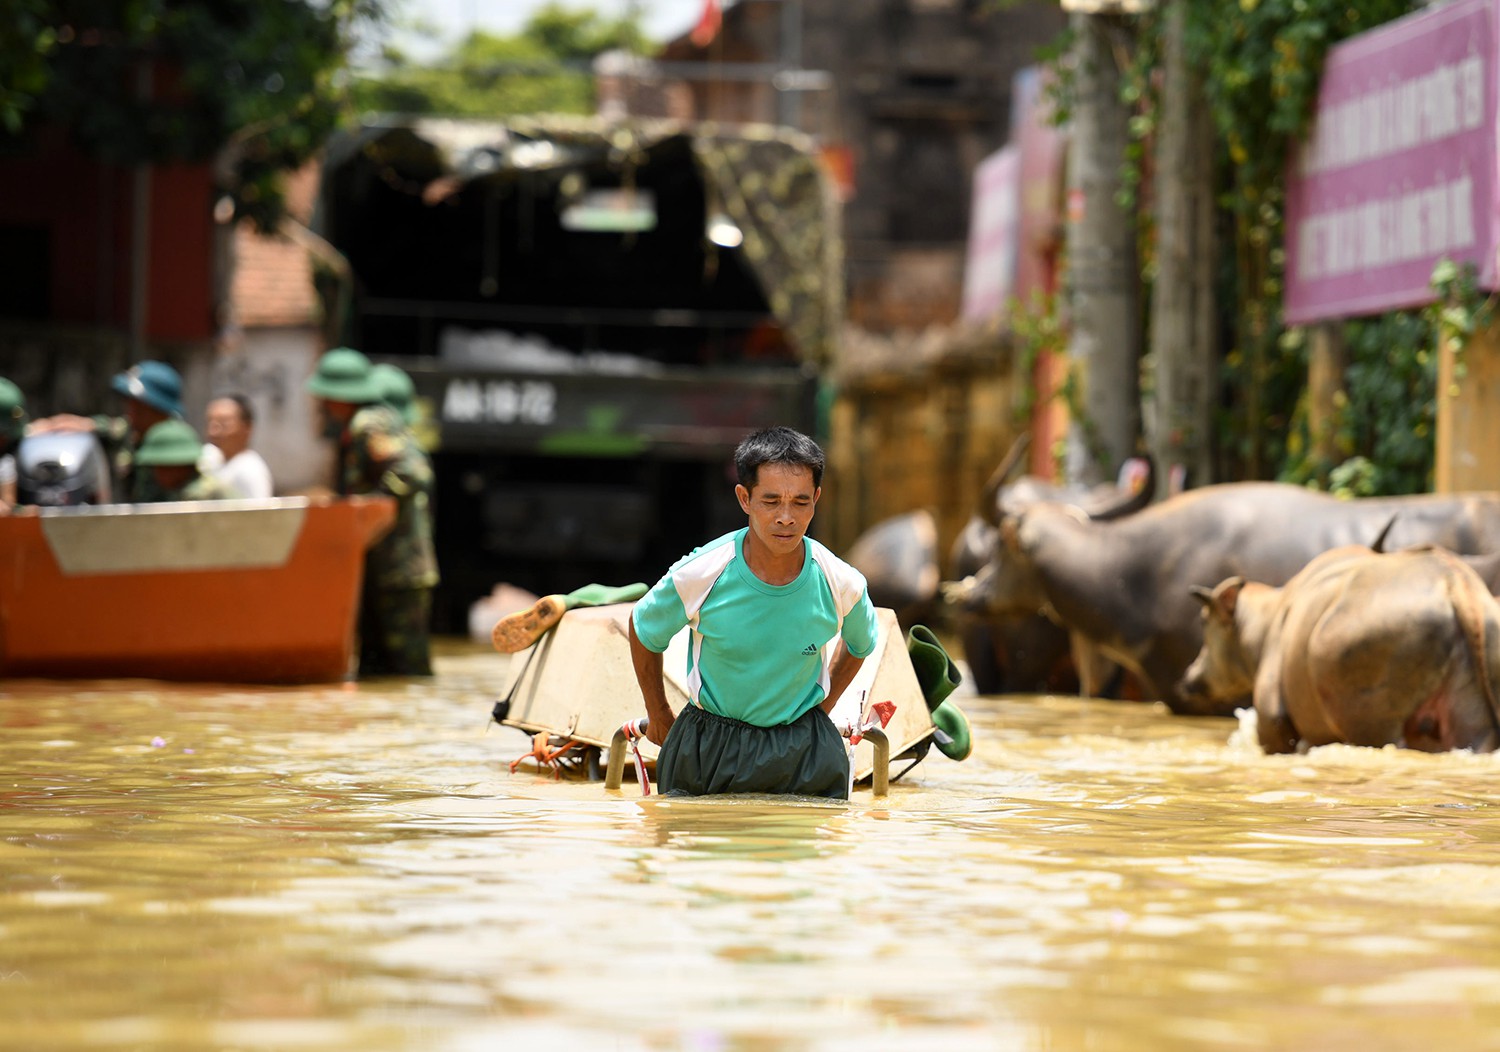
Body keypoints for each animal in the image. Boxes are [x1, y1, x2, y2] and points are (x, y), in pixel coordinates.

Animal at [1176, 546, 1500, 750]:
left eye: (1204, 622)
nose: (1188, 676)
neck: (1266, 624)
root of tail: (1456, 583)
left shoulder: (1272, 722)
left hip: (1373, 724)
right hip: (1472, 719)